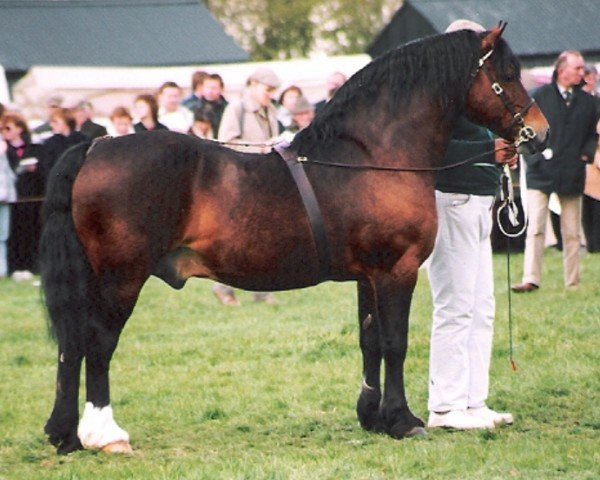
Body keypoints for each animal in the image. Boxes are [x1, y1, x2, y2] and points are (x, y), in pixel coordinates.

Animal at [41, 26, 548, 454]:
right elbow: (395, 343)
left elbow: (369, 340)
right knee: (98, 343)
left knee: (71, 345)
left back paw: (64, 434)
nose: (538, 132)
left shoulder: (368, 275)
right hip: (121, 278)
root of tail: (96, 146)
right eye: (507, 75)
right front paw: (402, 420)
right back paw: (105, 434)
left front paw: (372, 417)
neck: (374, 157)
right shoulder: (397, 270)